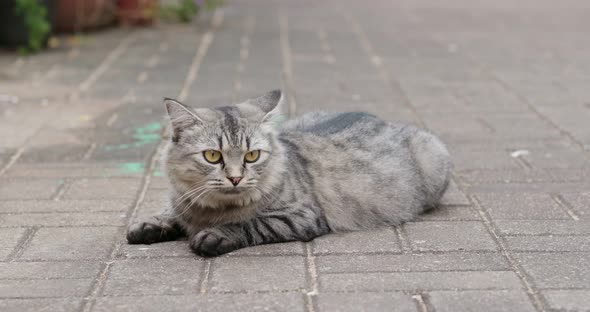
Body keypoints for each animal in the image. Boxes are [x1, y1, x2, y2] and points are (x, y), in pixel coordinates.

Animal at [128, 89, 454, 256]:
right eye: (212, 156)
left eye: (252, 156)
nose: (235, 177)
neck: (210, 211)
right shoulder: (183, 201)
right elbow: (169, 212)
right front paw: (149, 225)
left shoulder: (301, 216)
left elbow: (249, 223)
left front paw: (214, 235)